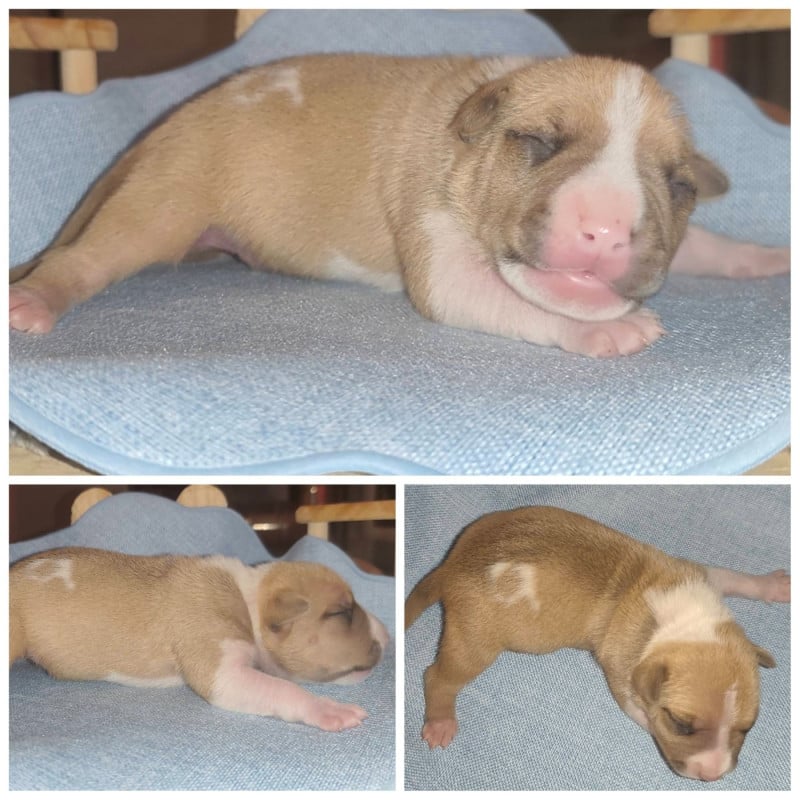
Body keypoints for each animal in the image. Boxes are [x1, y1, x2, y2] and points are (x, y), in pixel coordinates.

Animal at [9, 54, 788, 357]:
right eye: (538, 141)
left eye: (678, 184)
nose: (603, 230)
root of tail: (164, 127)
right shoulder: (439, 245)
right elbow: (511, 301)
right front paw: (608, 330)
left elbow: (706, 243)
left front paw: (761, 258)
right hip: (160, 206)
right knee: (87, 258)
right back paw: (37, 299)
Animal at [10, 547, 389, 731]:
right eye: (342, 612)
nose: (387, 634)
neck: (247, 599)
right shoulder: (224, 673)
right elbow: (286, 689)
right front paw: (328, 709)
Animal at [405, 506, 789, 780]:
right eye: (681, 725)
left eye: (748, 727)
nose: (712, 775)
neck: (684, 622)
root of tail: (451, 566)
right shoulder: (623, 671)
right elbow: (641, 713)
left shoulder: (702, 576)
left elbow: (733, 577)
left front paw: (771, 585)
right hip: (476, 640)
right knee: (439, 676)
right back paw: (440, 720)